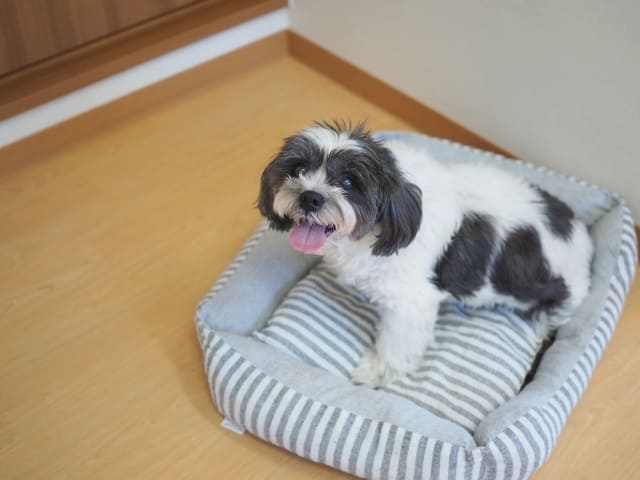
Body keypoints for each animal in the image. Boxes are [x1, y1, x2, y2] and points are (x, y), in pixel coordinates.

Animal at [258, 121, 593, 387]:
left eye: (349, 182)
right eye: (298, 169)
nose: (310, 197)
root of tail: (581, 236)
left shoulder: (411, 301)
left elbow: (398, 342)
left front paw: (377, 371)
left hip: (555, 305)